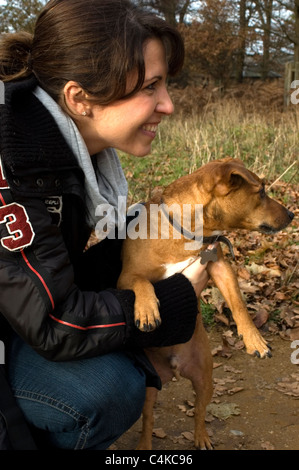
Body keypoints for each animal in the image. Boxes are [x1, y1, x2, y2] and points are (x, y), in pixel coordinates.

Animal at [118, 157, 296, 448]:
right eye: (261, 191)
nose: (292, 215)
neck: (187, 232)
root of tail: (174, 368)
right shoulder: (125, 277)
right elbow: (143, 283)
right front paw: (147, 311)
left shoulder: (221, 267)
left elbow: (238, 303)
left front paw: (254, 339)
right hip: (148, 389)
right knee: (148, 420)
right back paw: (144, 444)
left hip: (205, 380)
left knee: (200, 413)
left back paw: (201, 438)